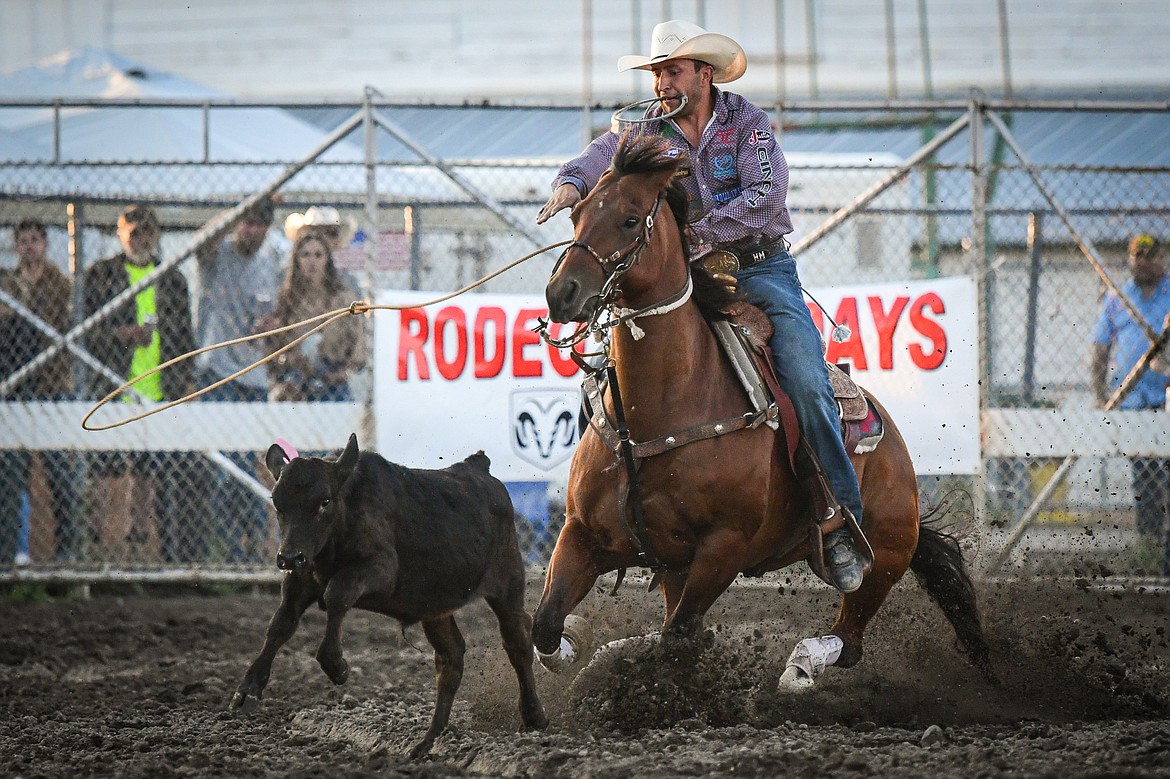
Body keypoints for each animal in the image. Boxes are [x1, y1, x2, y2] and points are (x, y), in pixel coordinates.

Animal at [535, 130, 992, 687]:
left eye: (628, 218)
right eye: (576, 215)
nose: (562, 292)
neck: (659, 412)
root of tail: (896, 448)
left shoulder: (724, 548)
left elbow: (677, 638)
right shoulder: (582, 535)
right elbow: (546, 627)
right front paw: (580, 645)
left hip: (883, 556)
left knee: (850, 641)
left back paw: (801, 664)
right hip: (677, 567)